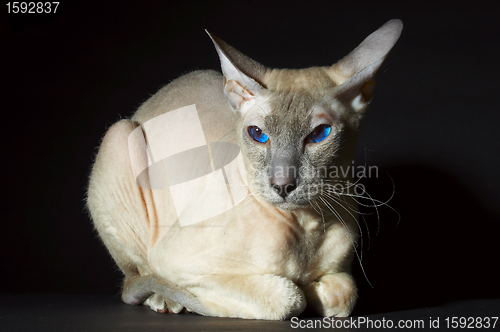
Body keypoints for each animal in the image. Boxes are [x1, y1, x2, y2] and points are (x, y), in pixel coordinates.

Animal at [87, 18, 402, 320]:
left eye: (319, 134)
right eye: (258, 134)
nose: (282, 184)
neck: (304, 227)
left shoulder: (341, 270)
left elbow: (343, 292)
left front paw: (316, 291)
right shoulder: (173, 259)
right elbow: (289, 296)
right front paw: (301, 291)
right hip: (118, 135)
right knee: (135, 277)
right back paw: (165, 300)